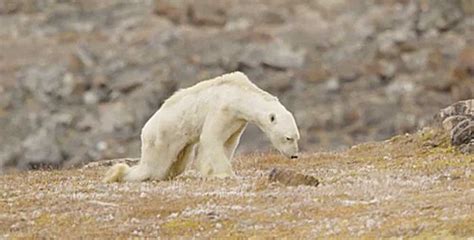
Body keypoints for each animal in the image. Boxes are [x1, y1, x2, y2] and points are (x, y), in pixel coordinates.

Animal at [103, 72, 300, 183]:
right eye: (288, 138)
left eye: (297, 137)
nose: (294, 155)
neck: (238, 95)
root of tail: (145, 130)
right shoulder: (221, 110)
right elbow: (211, 138)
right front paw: (225, 174)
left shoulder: (237, 121)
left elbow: (228, 143)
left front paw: (209, 172)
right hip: (162, 138)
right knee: (154, 167)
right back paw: (116, 173)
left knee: (177, 164)